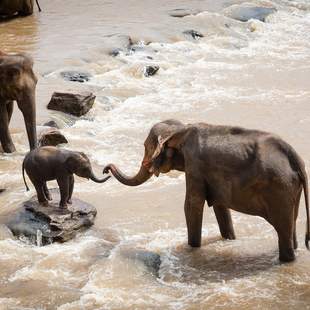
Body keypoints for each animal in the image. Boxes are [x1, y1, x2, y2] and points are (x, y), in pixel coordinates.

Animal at [104, 118, 310, 262]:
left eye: (146, 147)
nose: (106, 169)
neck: (181, 129)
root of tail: (296, 159)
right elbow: (221, 207)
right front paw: (229, 239)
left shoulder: (195, 166)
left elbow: (191, 205)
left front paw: (192, 249)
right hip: (291, 189)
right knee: (291, 224)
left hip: (279, 189)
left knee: (283, 228)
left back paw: (285, 260)